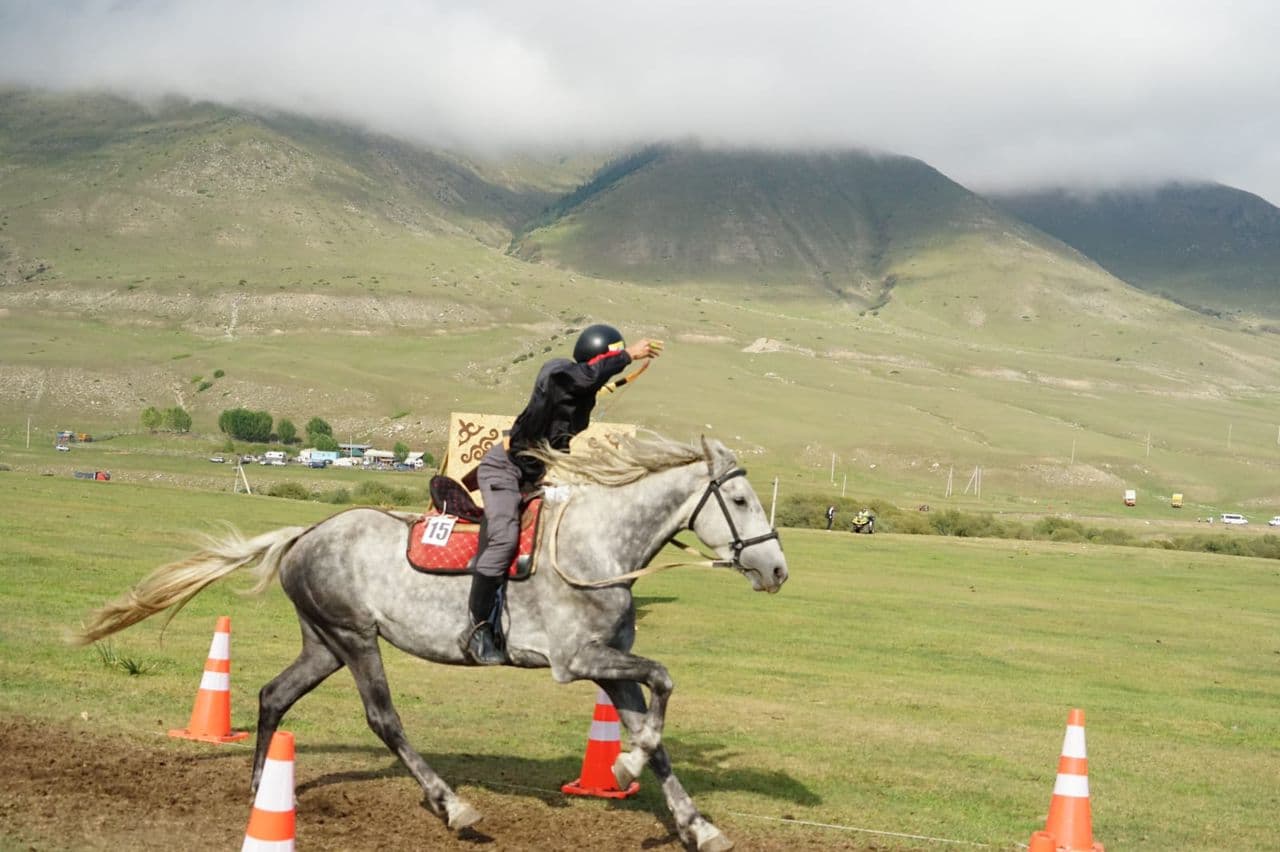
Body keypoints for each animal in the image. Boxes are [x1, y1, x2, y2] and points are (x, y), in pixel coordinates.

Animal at [76, 433, 788, 852]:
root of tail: (305, 533)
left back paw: (259, 789)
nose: (778, 570)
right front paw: (624, 768)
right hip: (355, 639)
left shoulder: (609, 665)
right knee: (384, 720)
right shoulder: (578, 660)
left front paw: (694, 821)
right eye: (741, 501)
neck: (601, 545)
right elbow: (664, 681)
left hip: (323, 644)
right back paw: (454, 807)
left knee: (273, 694)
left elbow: (654, 728)